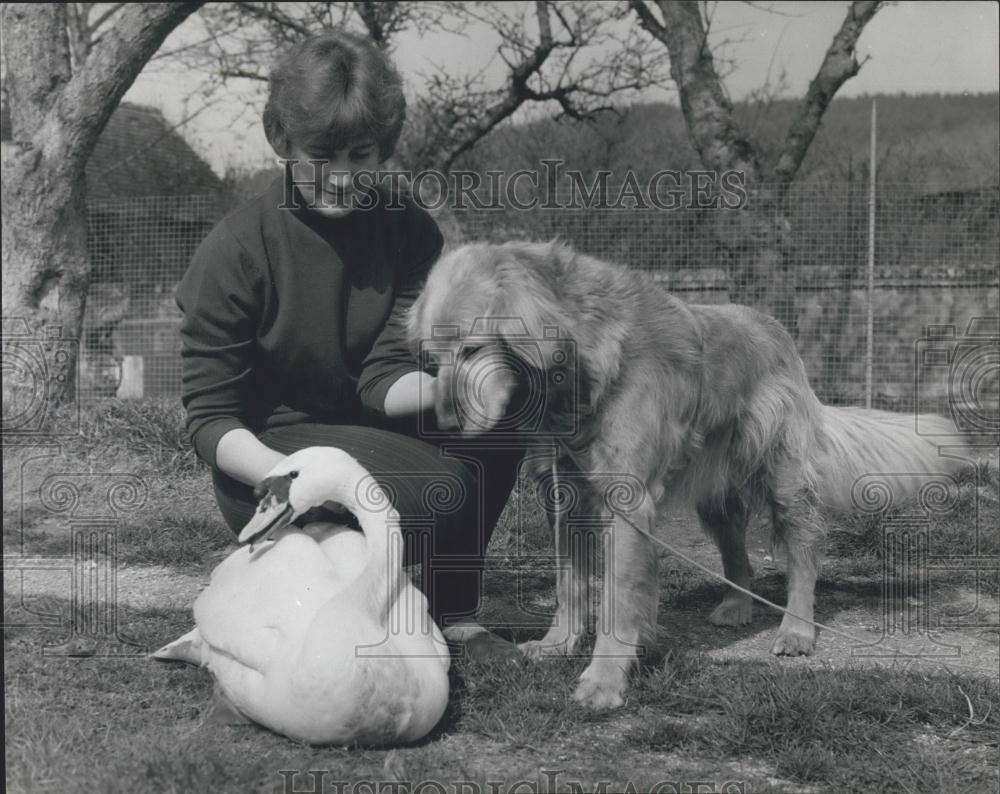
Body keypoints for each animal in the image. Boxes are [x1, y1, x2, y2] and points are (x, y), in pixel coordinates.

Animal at [406, 240, 968, 704]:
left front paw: (604, 681)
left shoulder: (626, 502)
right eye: (433, 360)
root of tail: (776, 329)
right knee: (738, 553)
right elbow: (571, 585)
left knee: (804, 557)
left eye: (473, 349)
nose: (443, 425)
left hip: (784, 482)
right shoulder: (565, 498)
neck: (586, 360)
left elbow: (617, 599)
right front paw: (557, 644)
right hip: (717, 497)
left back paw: (796, 630)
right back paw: (737, 605)